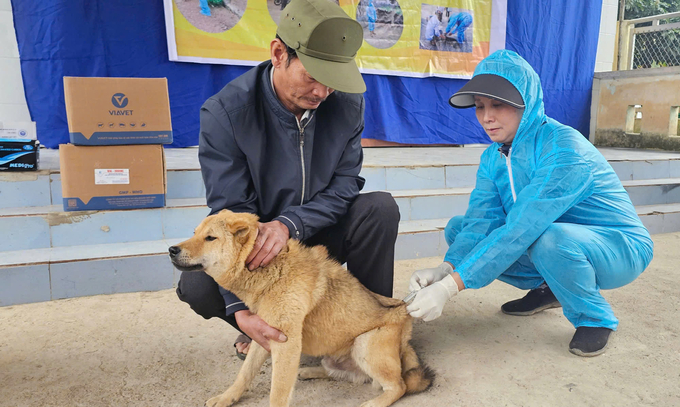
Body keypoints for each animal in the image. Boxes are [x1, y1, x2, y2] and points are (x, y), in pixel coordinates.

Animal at [171, 210, 436, 407]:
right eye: (194, 233)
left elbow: (277, 393)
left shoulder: (285, 343)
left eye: (210, 238)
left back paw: (373, 403)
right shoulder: (263, 334)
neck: (271, 269)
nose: (172, 250)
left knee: (399, 386)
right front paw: (227, 397)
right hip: (336, 356)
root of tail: (404, 323)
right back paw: (308, 372)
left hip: (365, 345)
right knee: (340, 373)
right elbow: (244, 373)